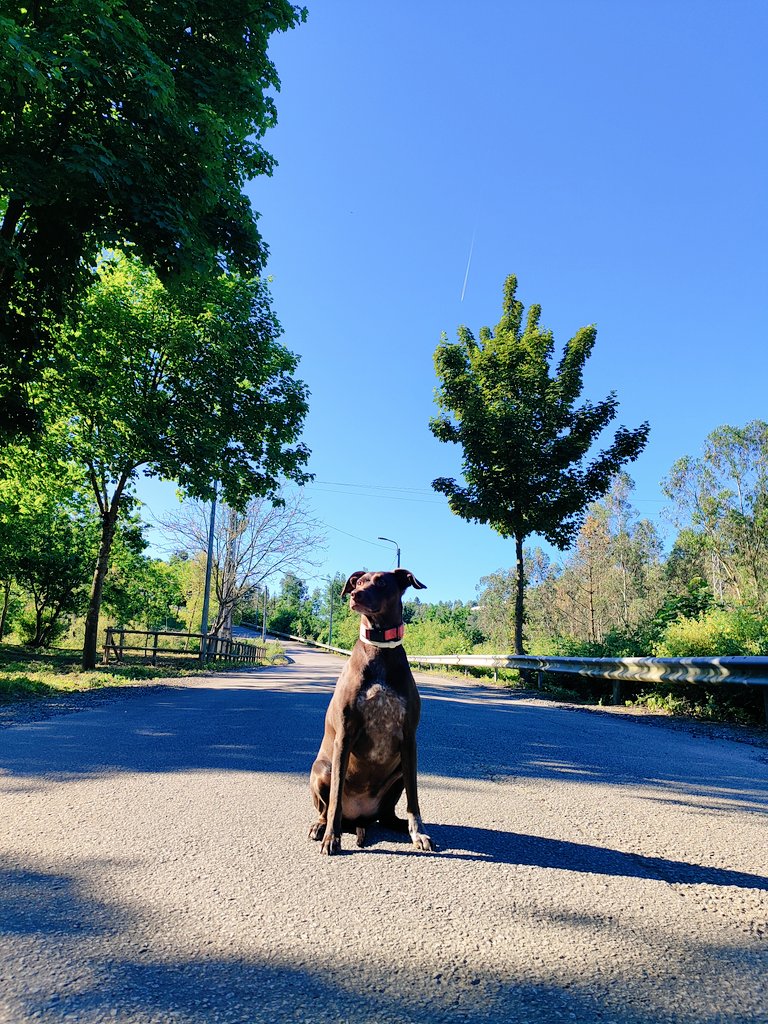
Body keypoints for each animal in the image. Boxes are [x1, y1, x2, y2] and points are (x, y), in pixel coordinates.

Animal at [309, 573, 436, 851]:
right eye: (358, 582)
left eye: (381, 582)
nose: (355, 595)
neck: (381, 648)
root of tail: (358, 817)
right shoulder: (344, 736)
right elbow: (335, 799)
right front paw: (331, 837)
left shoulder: (409, 740)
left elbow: (414, 798)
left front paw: (418, 833)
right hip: (322, 769)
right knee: (325, 808)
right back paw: (320, 826)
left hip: (398, 773)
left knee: (387, 815)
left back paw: (400, 825)